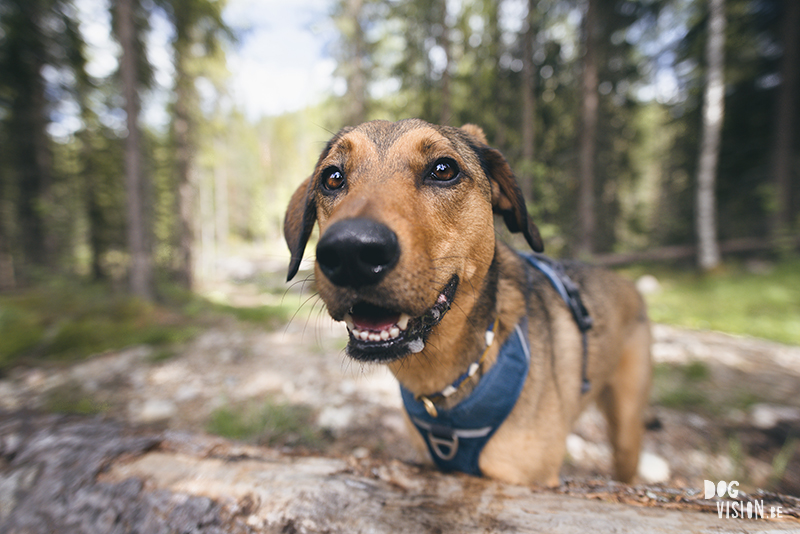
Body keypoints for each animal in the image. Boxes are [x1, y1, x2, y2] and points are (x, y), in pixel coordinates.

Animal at [284, 119, 652, 488]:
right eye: (332, 177)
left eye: (443, 170)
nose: (351, 252)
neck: (439, 382)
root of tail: (625, 282)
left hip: (626, 428)